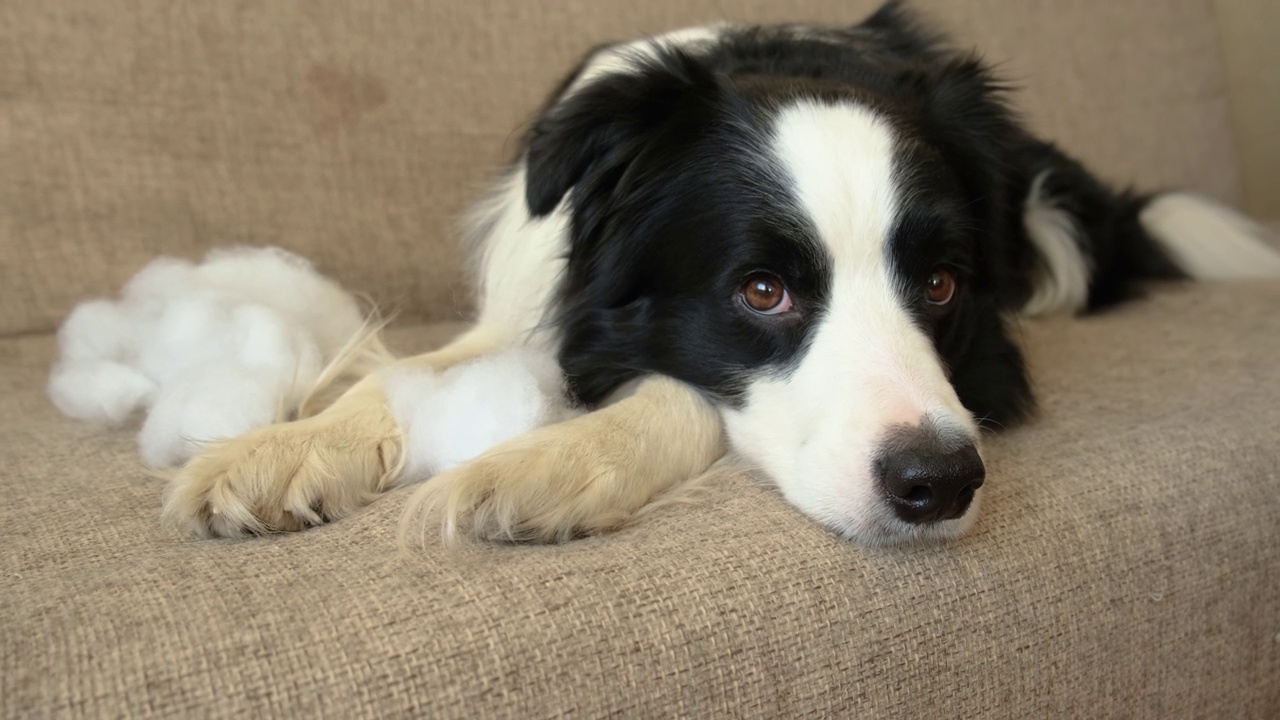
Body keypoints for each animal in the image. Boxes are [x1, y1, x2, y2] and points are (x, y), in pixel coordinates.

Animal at [157, 1, 1280, 543]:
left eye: (941, 285)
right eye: (762, 291)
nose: (939, 484)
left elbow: (678, 390)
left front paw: (539, 466)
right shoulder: (527, 299)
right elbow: (405, 375)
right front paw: (273, 453)